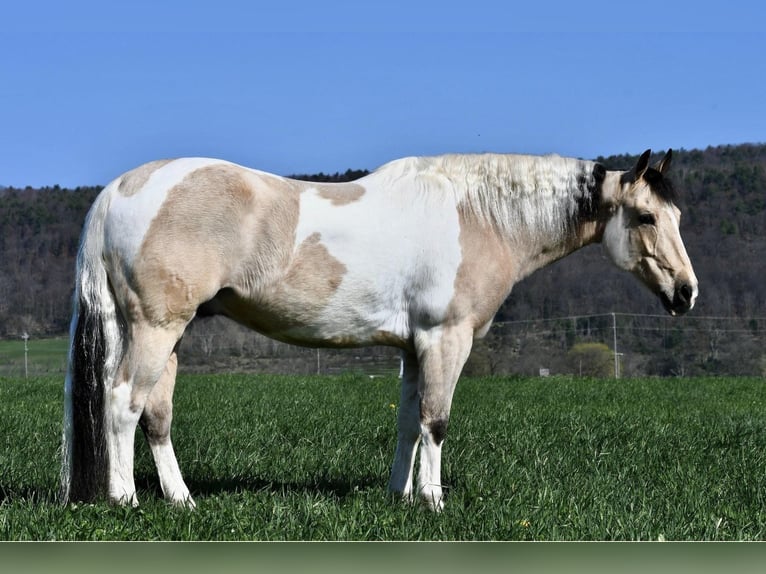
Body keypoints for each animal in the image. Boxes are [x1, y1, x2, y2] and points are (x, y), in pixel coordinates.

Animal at [61, 148, 704, 512]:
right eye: (645, 217)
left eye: (675, 215)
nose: (686, 293)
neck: (477, 214)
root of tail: (119, 190)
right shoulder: (447, 338)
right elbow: (436, 421)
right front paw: (434, 505)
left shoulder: (415, 347)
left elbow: (408, 422)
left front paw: (400, 498)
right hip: (154, 329)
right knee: (122, 403)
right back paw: (125, 500)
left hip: (163, 335)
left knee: (155, 415)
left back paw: (183, 502)